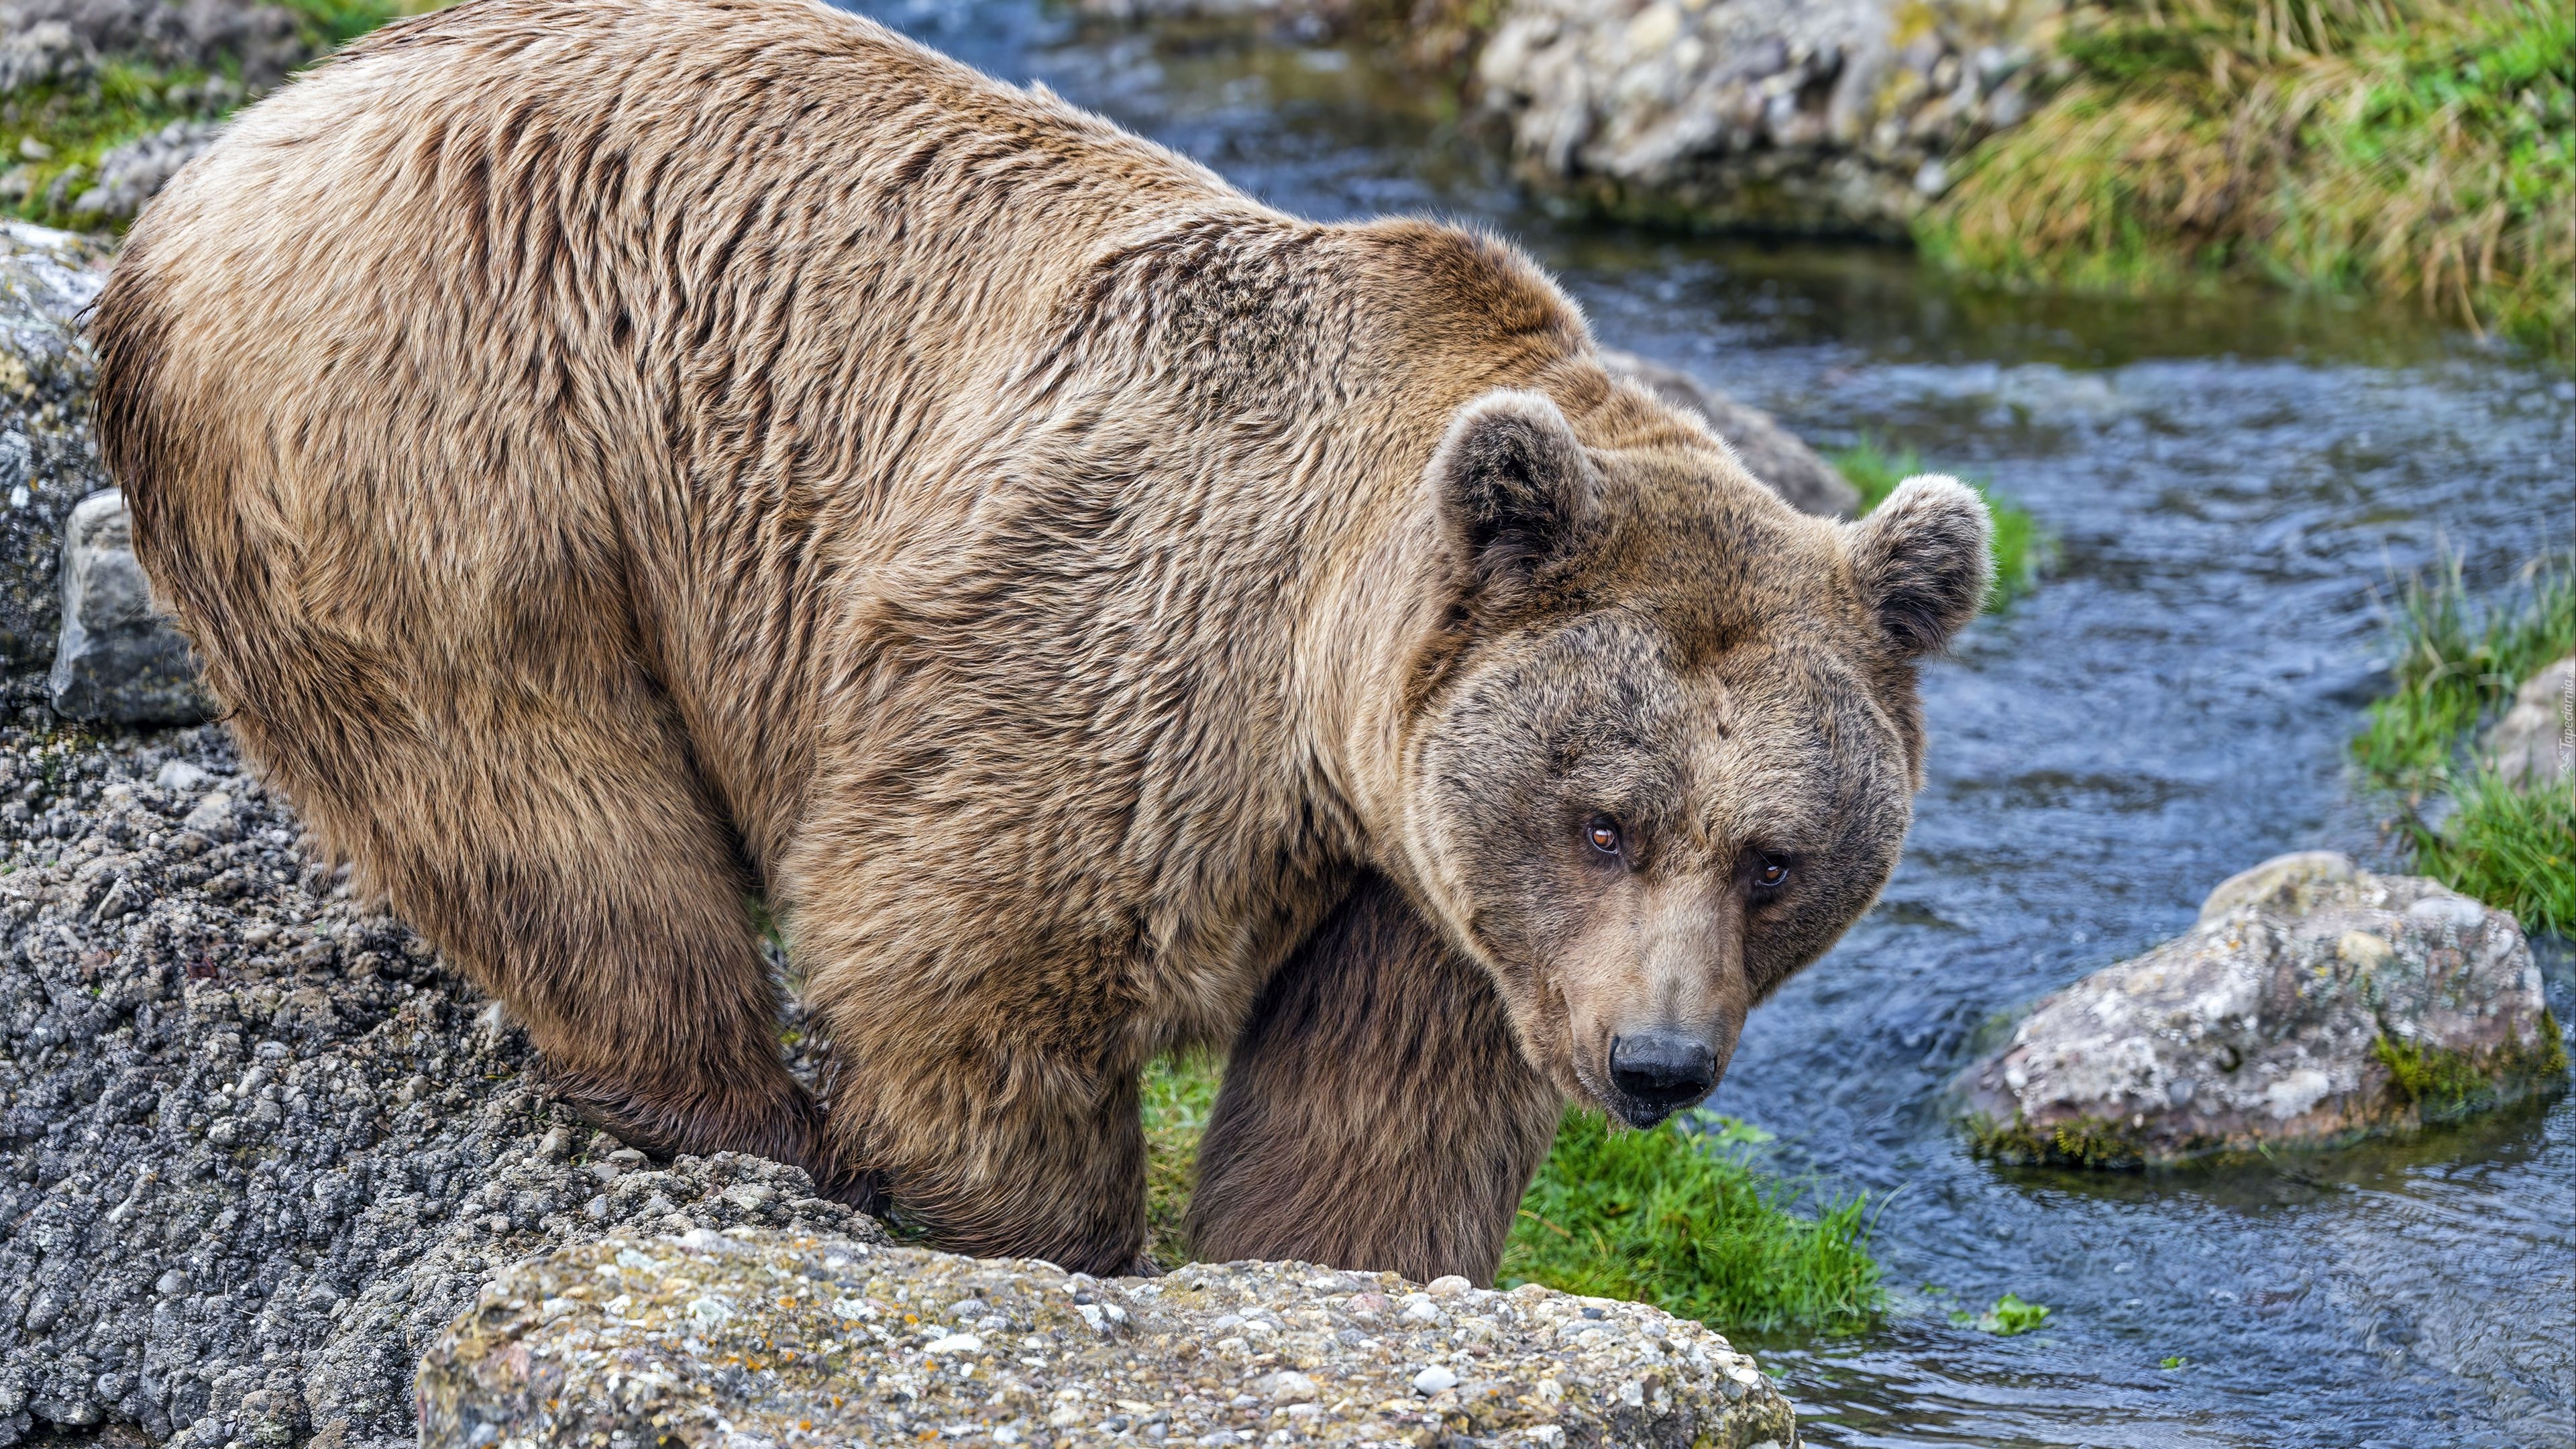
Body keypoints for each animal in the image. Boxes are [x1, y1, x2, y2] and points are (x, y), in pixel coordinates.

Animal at [91, 0, 1978, 1273]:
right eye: (1606, 819)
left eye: (1775, 857)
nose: (1656, 1063)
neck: (1318, 690)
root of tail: (225, 162)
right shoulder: (1110, 641)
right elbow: (971, 954)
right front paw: (1043, 1233)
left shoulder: (1433, 889)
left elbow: (1378, 1121)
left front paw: (1328, 1268)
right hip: (439, 422)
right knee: (544, 793)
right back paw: (736, 1111)